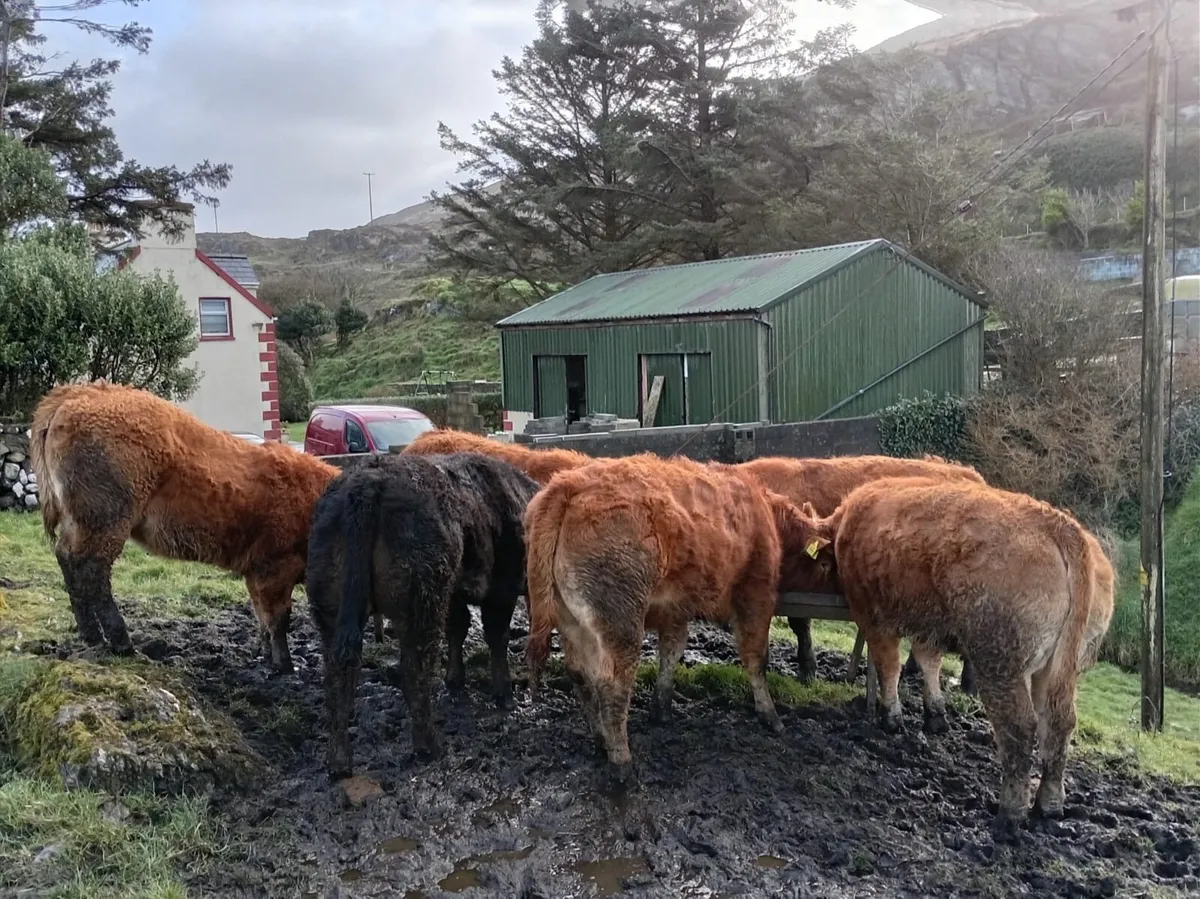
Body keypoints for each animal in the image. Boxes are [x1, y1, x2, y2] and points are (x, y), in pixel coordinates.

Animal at [29, 381, 339, 672]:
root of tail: (80, 392)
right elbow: (279, 619)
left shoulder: (257, 573)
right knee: (92, 568)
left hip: (81, 520)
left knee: (67, 558)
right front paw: (285, 665)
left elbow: (263, 617)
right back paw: (122, 643)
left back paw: (92, 635)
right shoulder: (276, 568)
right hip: (106, 519)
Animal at [306, 452, 539, 777]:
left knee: (337, 671)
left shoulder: (455, 594)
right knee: (414, 669)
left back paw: (339, 762)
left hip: (330, 606)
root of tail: (367, 481)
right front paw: (504, 695)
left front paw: (455, 680)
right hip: (421, 600)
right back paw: (428, 746)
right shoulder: (500, 588)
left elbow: (458, 628)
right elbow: (496, 636)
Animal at [523, 453, 806, 788]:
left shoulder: (675, 609)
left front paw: (662, 708)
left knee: (581, 675)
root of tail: (570, 483)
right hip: (621, 621)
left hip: (572, 621)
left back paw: (601, 740)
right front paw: (770, 716)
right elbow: (756, 659)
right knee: (613, 686)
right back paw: (622, 763)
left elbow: (671, 652)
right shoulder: (755, 595)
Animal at [788, 477, 1115, 837]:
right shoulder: (928, 625)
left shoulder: (873, 614)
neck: (848, 523)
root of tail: (1058, 525)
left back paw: (1009, 814)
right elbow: (927, 660)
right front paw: (935, 714)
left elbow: (889, 664)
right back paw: (1050, 804)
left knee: (1019, 727)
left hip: (999, 661)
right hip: (1058, 668)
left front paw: (891, 716)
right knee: (1058, 722)